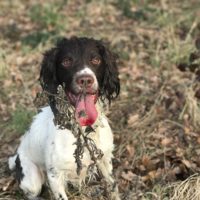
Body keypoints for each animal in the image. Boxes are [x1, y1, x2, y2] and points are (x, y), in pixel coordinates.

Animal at [8, 36, 120, 199]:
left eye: (96, 60)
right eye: (66, 61)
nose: (85, 80)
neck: (83, 131)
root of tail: (16, 156)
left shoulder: (104, 159)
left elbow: (113, 187)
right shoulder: (55, 175)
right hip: (32, 180)